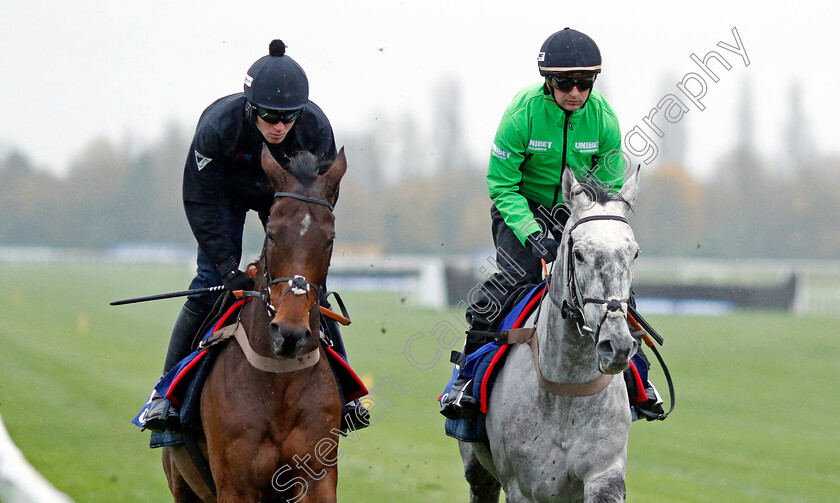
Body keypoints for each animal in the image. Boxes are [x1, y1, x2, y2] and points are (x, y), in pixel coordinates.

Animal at [162, 146, 346, 503]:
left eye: (330, 239)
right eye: (272, 234)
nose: (289, 333)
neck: (280, 382)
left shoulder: (317, 476)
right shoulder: (236, 484)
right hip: (182, 483)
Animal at [460, 167, 644, 502]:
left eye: (633, 253)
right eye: (579, 254)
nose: (617, 345)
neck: (566, 389)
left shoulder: (604, 475)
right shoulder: (522, 487)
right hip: (477, 469)